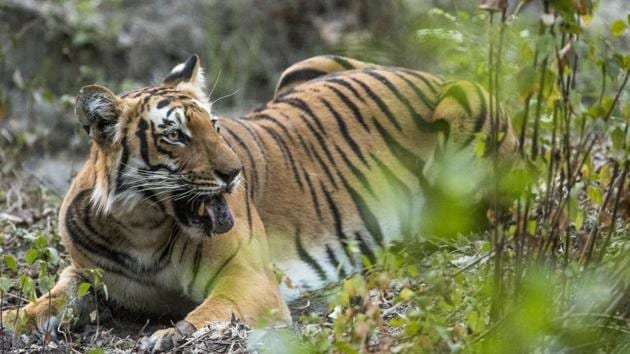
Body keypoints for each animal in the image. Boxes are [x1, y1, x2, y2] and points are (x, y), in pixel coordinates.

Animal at [1, 54, 520, 350]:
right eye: (175, 135)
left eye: (213, 124)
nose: (233, 174)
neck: (140, 226)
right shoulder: (85, 272)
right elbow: (50, 301)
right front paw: (14, 318)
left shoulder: (246, 275)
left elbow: (210, 312)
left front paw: (168, 336)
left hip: (466, 125)